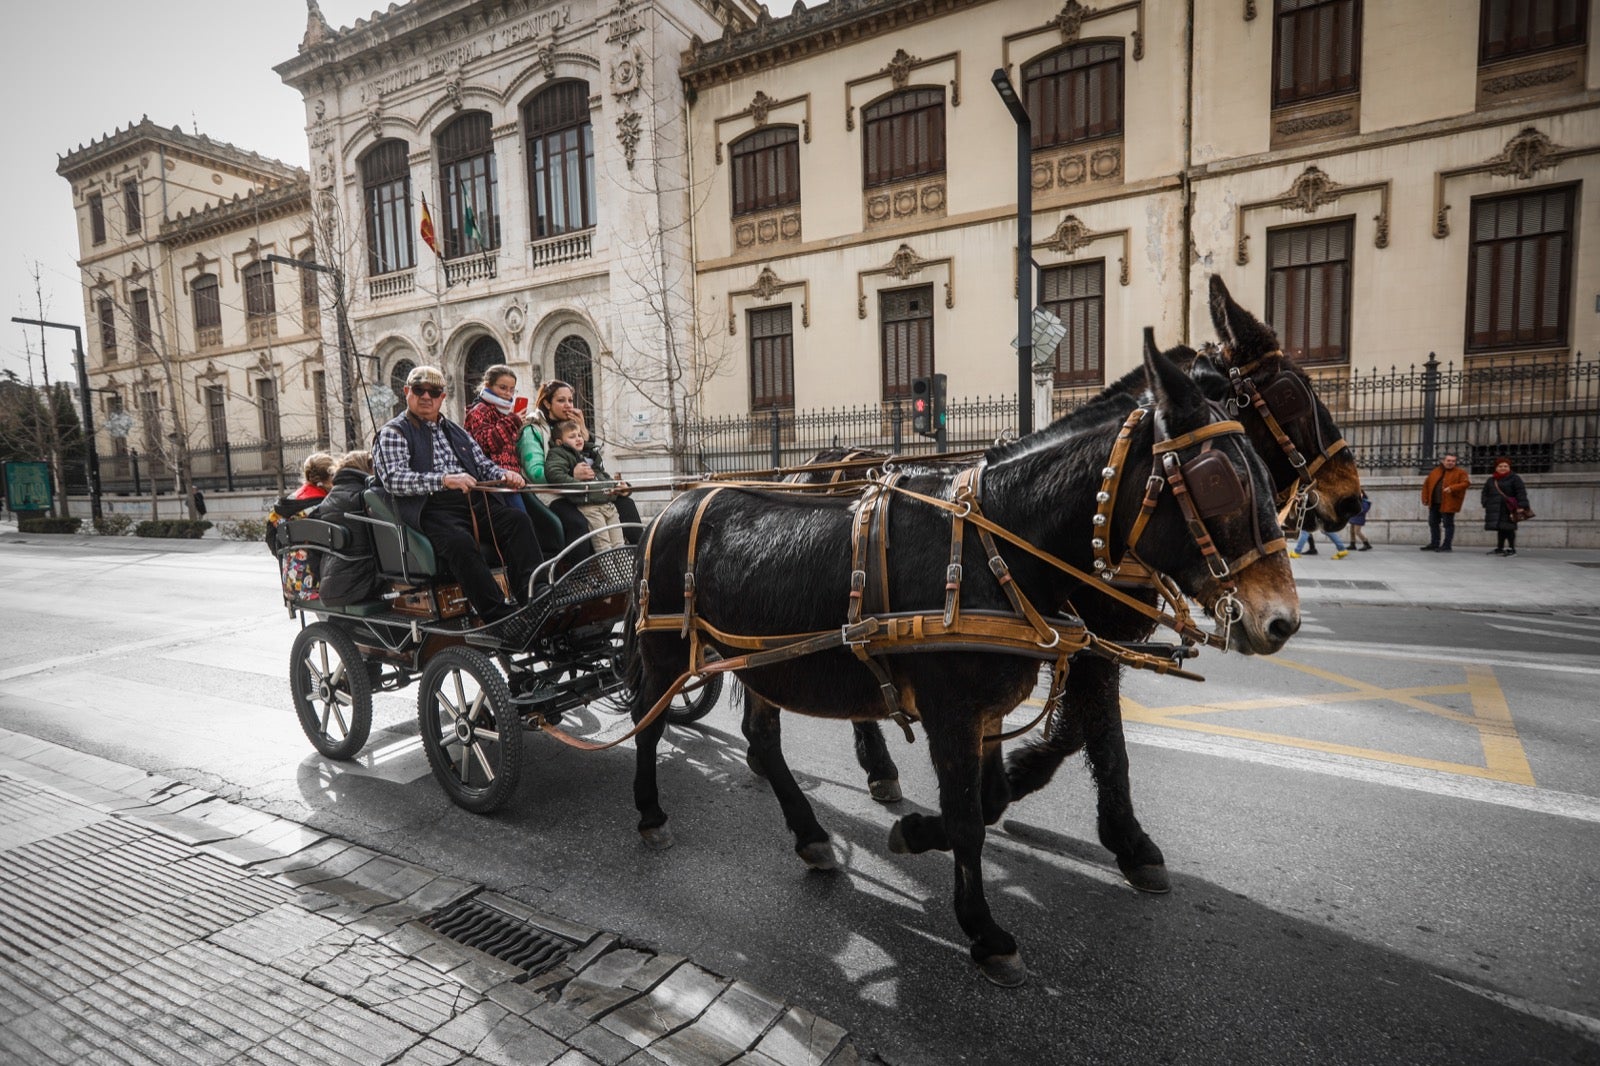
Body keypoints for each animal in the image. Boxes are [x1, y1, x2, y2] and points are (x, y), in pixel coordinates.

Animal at [620, 332, 1299, 979]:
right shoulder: (952, 712)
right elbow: (971, 813)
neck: (994, 548)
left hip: (762, 664)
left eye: (1264, 476)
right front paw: (985, 931)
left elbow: (988, 797)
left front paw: (917, 833)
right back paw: (650, 813)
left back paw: (811, 836)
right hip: (667, 656)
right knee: (646, 723)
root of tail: (672, 506)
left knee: (761, 738)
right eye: (1220, 482)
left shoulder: (991, 709)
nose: (1281, 620)